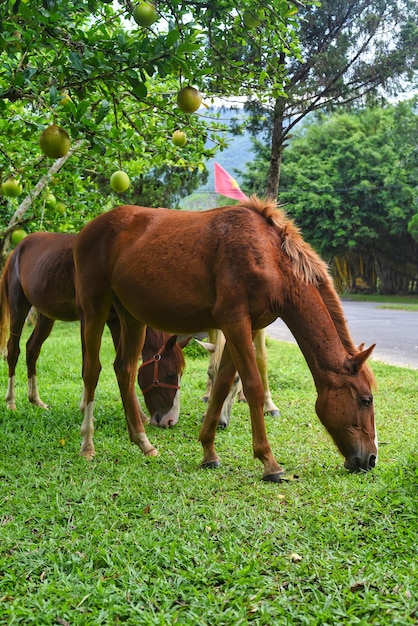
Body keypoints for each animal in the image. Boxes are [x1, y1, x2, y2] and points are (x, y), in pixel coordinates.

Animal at [0, 229, 189, 428]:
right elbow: (87, 365)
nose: (170, 420)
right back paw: (11, 402)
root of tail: (16, 251)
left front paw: (138, 415)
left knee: (32, 349)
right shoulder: (88, 319)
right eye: (169, 374)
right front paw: (86, 410)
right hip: (18, 307)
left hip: (46, 315)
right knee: (13, 350)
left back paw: (35, 400)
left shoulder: (116, 321)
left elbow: (125, 366)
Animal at [73, 197, 378, 480]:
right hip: (95, 307)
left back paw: (143, 443)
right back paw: (87, 445)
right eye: (366, 399)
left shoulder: (245, 328)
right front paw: (269, 462)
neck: (269, 256)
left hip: (132, 316)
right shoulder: (235, 322)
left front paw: (209, 451)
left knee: (125, 369)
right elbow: (253, 386)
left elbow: (221, 384)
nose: (371, 459)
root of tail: (87, 230)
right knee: (92, 370)